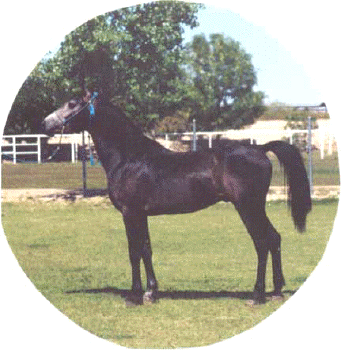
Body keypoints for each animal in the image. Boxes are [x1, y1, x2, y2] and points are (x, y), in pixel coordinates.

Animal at [41, 91, 310, 304]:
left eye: (72, 104)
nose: (45, 123)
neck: (129, 157)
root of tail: (260, 148)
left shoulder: (130, 212)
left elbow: (134, 251)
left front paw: (134, 296)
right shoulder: (141, 214)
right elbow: (146, 249)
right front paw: (151, 293)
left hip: (248, 207)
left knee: (262, 243)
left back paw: (257, 295)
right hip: (255, 208)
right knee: (274, 239)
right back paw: (276, 291)